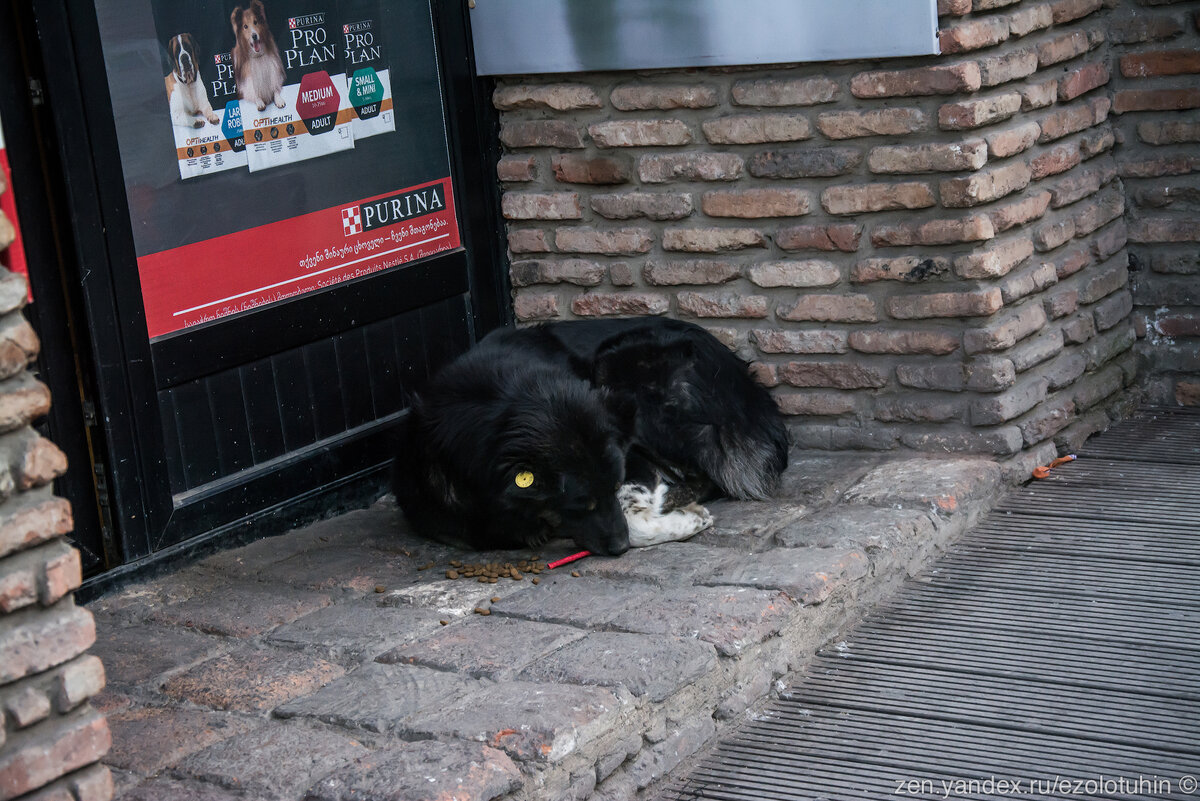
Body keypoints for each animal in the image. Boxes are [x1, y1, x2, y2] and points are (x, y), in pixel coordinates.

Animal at [391, 316, 787, 553]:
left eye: (612, 487)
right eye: (580, 505)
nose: (619, 548)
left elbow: (635, 515)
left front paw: (682, 518)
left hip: (622, 373)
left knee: (702, 475)